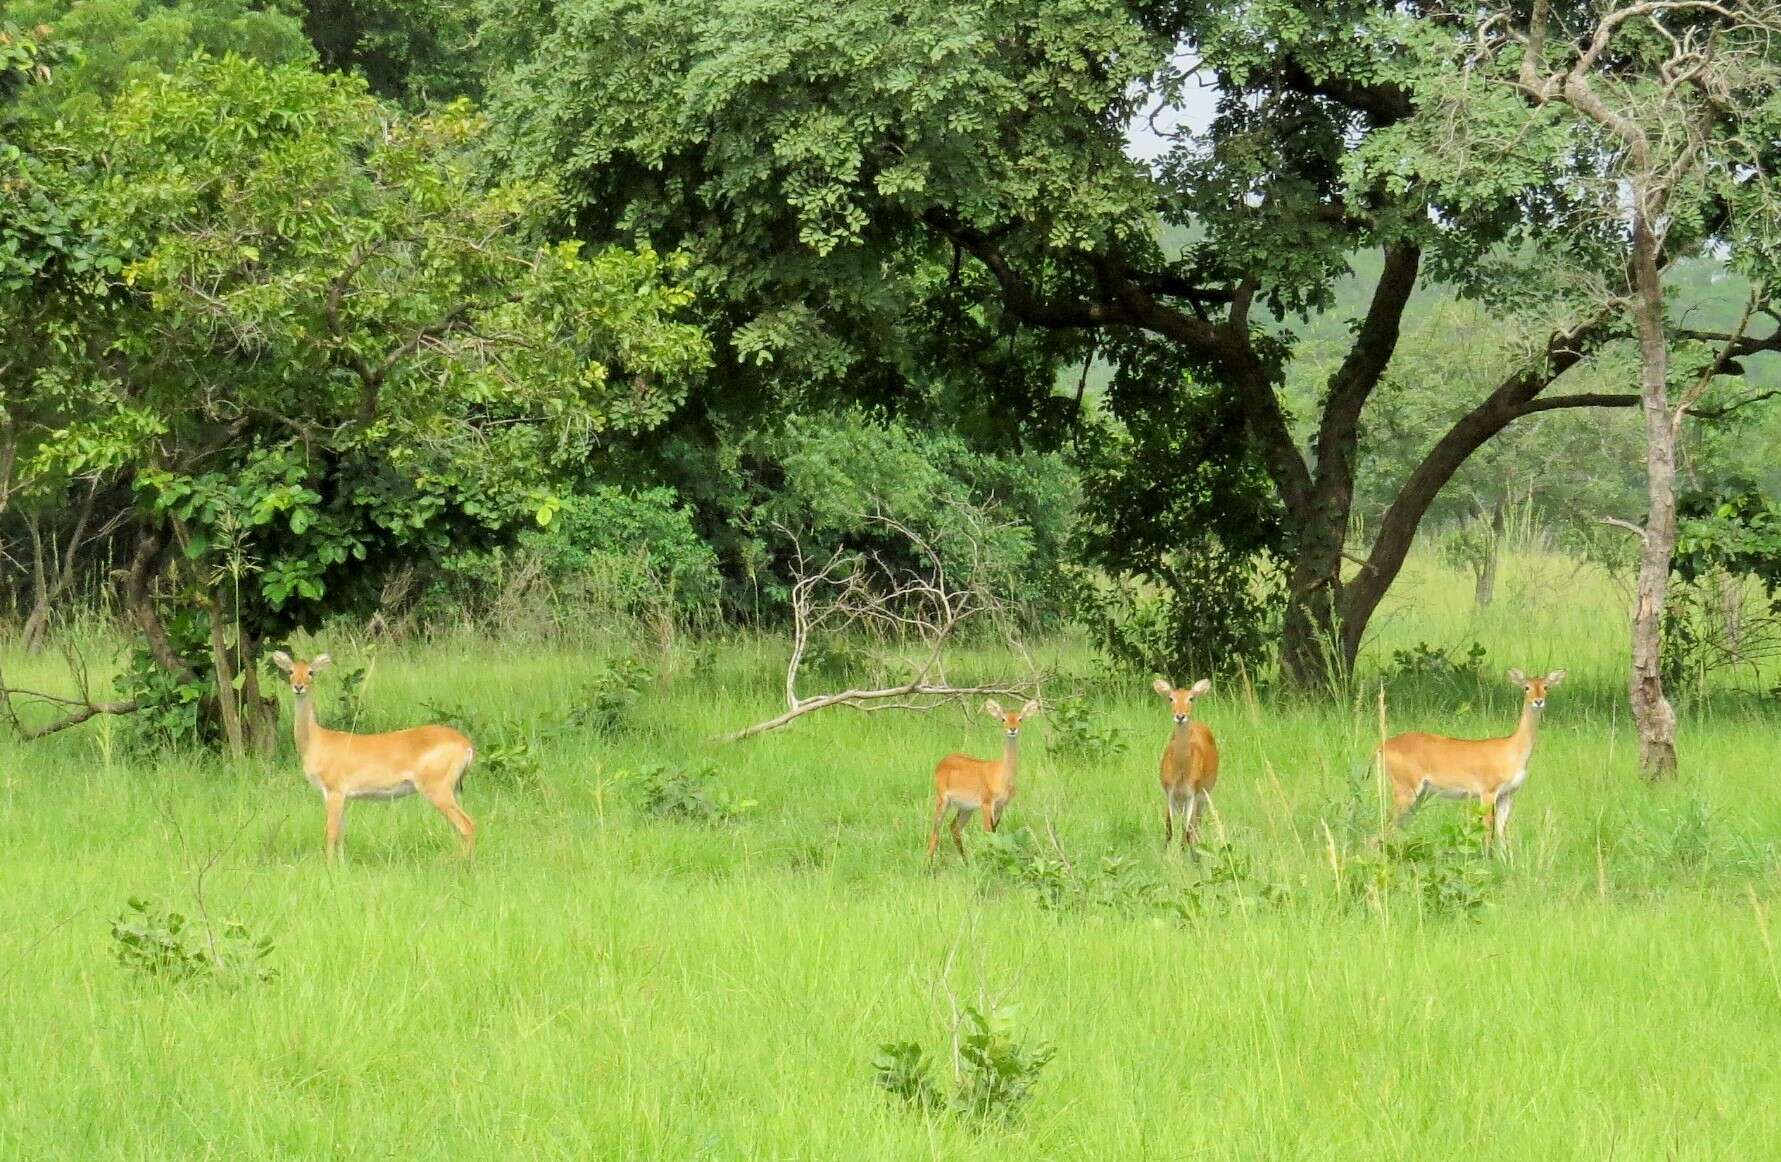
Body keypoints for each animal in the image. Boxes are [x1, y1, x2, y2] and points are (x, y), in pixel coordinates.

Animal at [268, 652, 477, 862]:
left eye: (311, 672)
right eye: (290, 671)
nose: (298, 686)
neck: (316, 741)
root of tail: (466, 745)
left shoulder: (334, 789)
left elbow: (331, 833)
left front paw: (329, 865)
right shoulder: (345, 796)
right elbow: (342, 834)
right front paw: (342, 864)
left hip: (437, 786)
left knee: (467, 825)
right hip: (453, 787)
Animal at [926, 698, 1040, 862]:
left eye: (1020, 719)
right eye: (1003, 719)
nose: (1012, 729)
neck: (1002, 774)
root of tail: (943, 761)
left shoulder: (1000, 806)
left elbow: (994, 834)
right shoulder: (987, 804)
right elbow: (988, 834)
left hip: (966, 808)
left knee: (954, 828)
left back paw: (965, 861)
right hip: (943, 801)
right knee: (935, 832)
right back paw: (928, 864)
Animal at [1146, 680, 1218, 851]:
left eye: (1191, 698)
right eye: (1171, 698)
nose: (1180, 716)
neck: (1180, 772)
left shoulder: (1191, 793)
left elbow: (1186, 831)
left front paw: (1183, 853)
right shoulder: (1170, 792)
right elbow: (1169, 829)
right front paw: (1165, 852)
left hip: (1205, 795)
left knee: (1195, 825)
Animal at [1367, 666, 1567, 848]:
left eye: (1546, 686)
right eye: (1526, 687)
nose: (1538, 701)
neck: (1512, 749)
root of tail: (1382, 745)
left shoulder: (1507, 795)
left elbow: (1501, 835)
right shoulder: (1488, 792)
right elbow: (1487, 832)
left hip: (1420, 795)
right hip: (1405, 790)